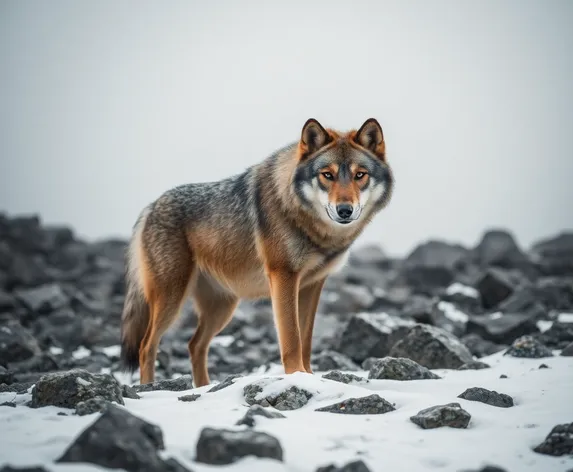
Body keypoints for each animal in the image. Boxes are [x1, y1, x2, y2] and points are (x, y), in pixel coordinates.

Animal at [119, 118, 394, 388]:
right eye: (327, 175)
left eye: (360, 175)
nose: (345, 210)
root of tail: (150, 207)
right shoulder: (283, 276)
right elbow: (291, 339)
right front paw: (297, 376)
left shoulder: (312, 284)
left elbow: (305, 340)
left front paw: (309, 377)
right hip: (172, 299)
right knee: (146, 346)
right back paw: (148, 388)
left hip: (222, 308)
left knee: (194, 345)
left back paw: (204, 387)